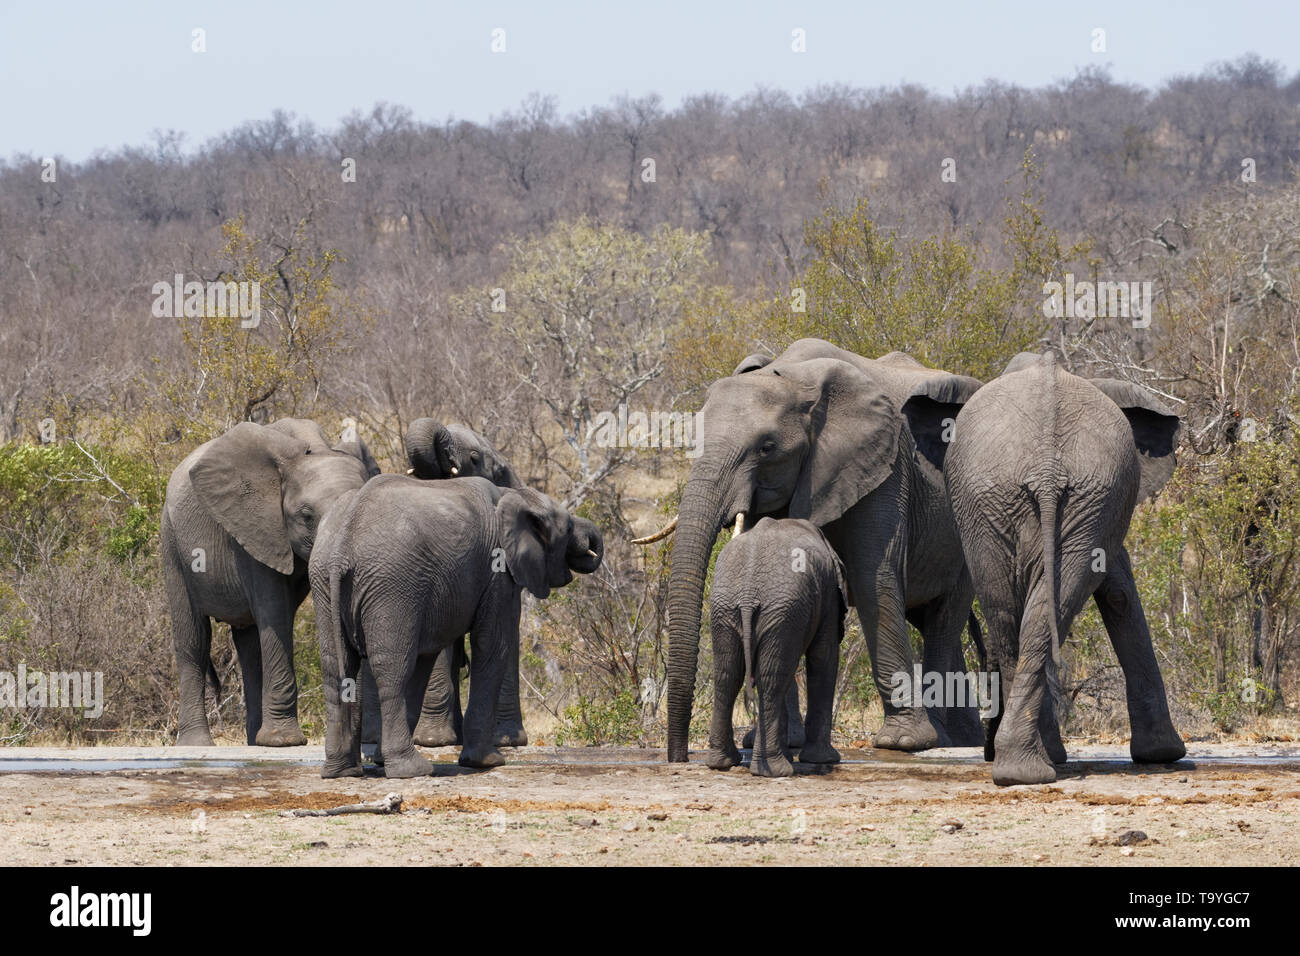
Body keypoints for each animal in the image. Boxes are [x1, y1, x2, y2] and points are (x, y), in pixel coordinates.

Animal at [159, 418, 379, 749]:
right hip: (171, 541)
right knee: (193, 639)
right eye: (306, 516)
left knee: (250, 648)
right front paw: (283, 742)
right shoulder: (253, 527)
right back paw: (197, 745)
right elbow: (275, 610)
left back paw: (254, 742)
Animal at [312, 473, 600, 780]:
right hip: (391, 585)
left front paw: (379, 761)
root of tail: (343, 546)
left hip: (325, 581)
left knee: (337, 670)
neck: (515, 495)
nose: (590, 541)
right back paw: (412, 770)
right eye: (568, 527)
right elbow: (493, 644)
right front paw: (487, 762)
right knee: (392, 670)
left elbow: (423, 662)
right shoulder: (498, 569)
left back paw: (342, 771)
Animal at [707, 515, 847, 780]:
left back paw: (723, 762)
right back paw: (776, 770)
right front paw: (826, 759)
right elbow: (823, 658)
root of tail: (748, 594)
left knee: (728, 675)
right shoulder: (828, 596)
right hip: (781, 608)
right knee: (771, 679)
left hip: (732, 609)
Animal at [946, 351, 1190, 785]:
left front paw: (1162, 753)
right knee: (1025, 608)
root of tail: (1047, 467)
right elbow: (1119, 593)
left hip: (1064, 497)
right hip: (1020, 498)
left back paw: (1021, 767)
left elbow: (1116, 593)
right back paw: (1028, 765)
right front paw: (1164, 753)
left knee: (1011, 611)